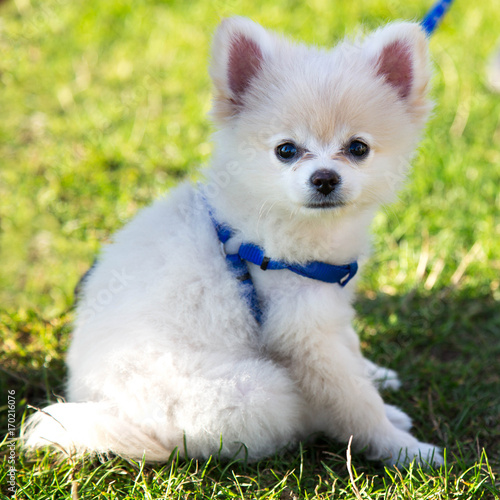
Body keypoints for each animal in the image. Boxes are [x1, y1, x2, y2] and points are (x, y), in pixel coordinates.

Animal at [25, 16, 444, 468]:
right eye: (286, 150)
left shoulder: (326, 307)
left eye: (357, 148)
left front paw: (377, 379)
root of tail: (117, 416)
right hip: (257, 389)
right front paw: (404, 449)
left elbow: (351, 346)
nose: (325, 178)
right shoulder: (303, 336)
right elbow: (355, 402)